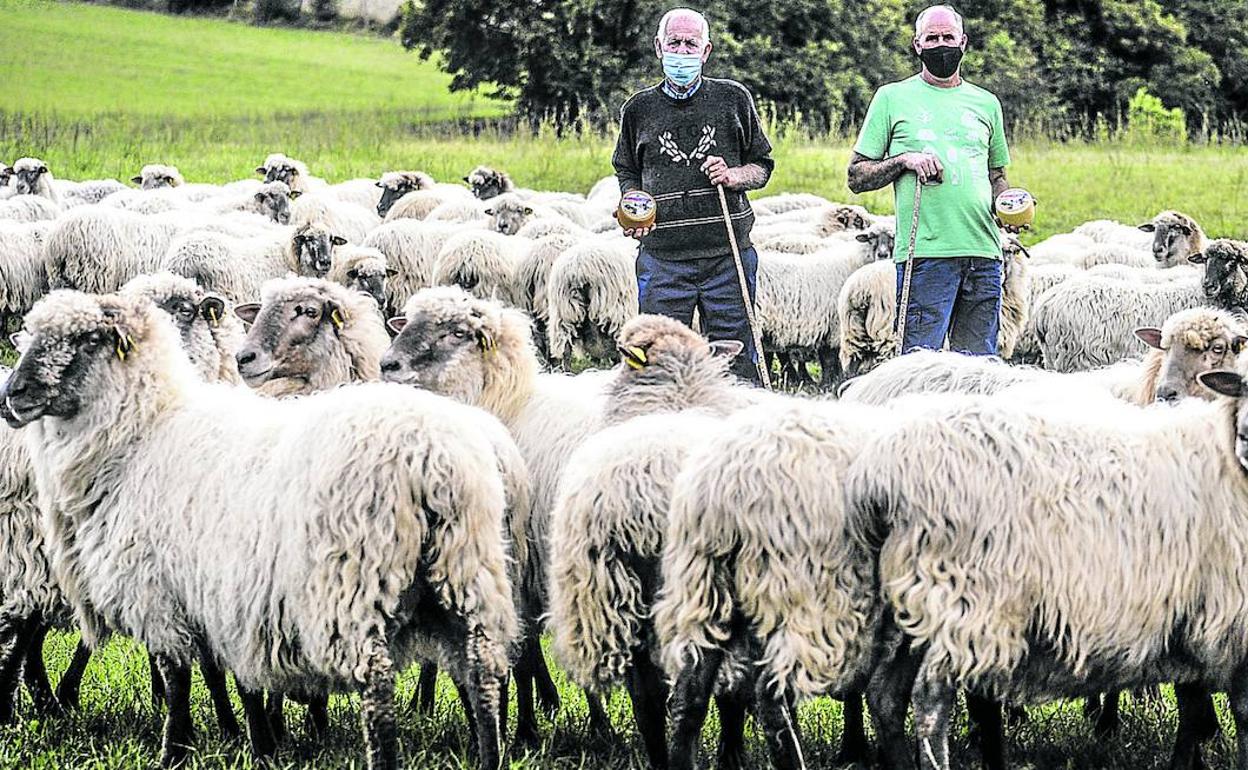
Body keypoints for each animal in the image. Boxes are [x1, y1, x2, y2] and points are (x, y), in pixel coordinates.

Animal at [2, 289, 519, 768]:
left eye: (88, 339)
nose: (13, 394)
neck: (140, 434)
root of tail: (433, 454)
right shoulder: (226, 597)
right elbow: (232, 678)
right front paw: (258, 742)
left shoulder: (160, 594)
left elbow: (176, 680)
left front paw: (176, 752)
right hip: (465, 569)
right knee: (482, 673)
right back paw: (489, 755)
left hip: (353, 584)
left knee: (377, 690)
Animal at [376, 285, 616, 743]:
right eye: (409, 322)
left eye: (456, 332)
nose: (387, 364)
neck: (505, 400)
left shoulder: (520, 561)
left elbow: (521, 652)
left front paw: (527, 727)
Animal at [838, 384, 1248, 768]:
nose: (1244, 439)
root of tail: (880, 468)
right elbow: (1232, 710)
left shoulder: (1194, 618)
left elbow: (1196, 706)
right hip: (965, 599)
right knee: (931, 702)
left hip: (908, 605)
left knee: (886, 696)